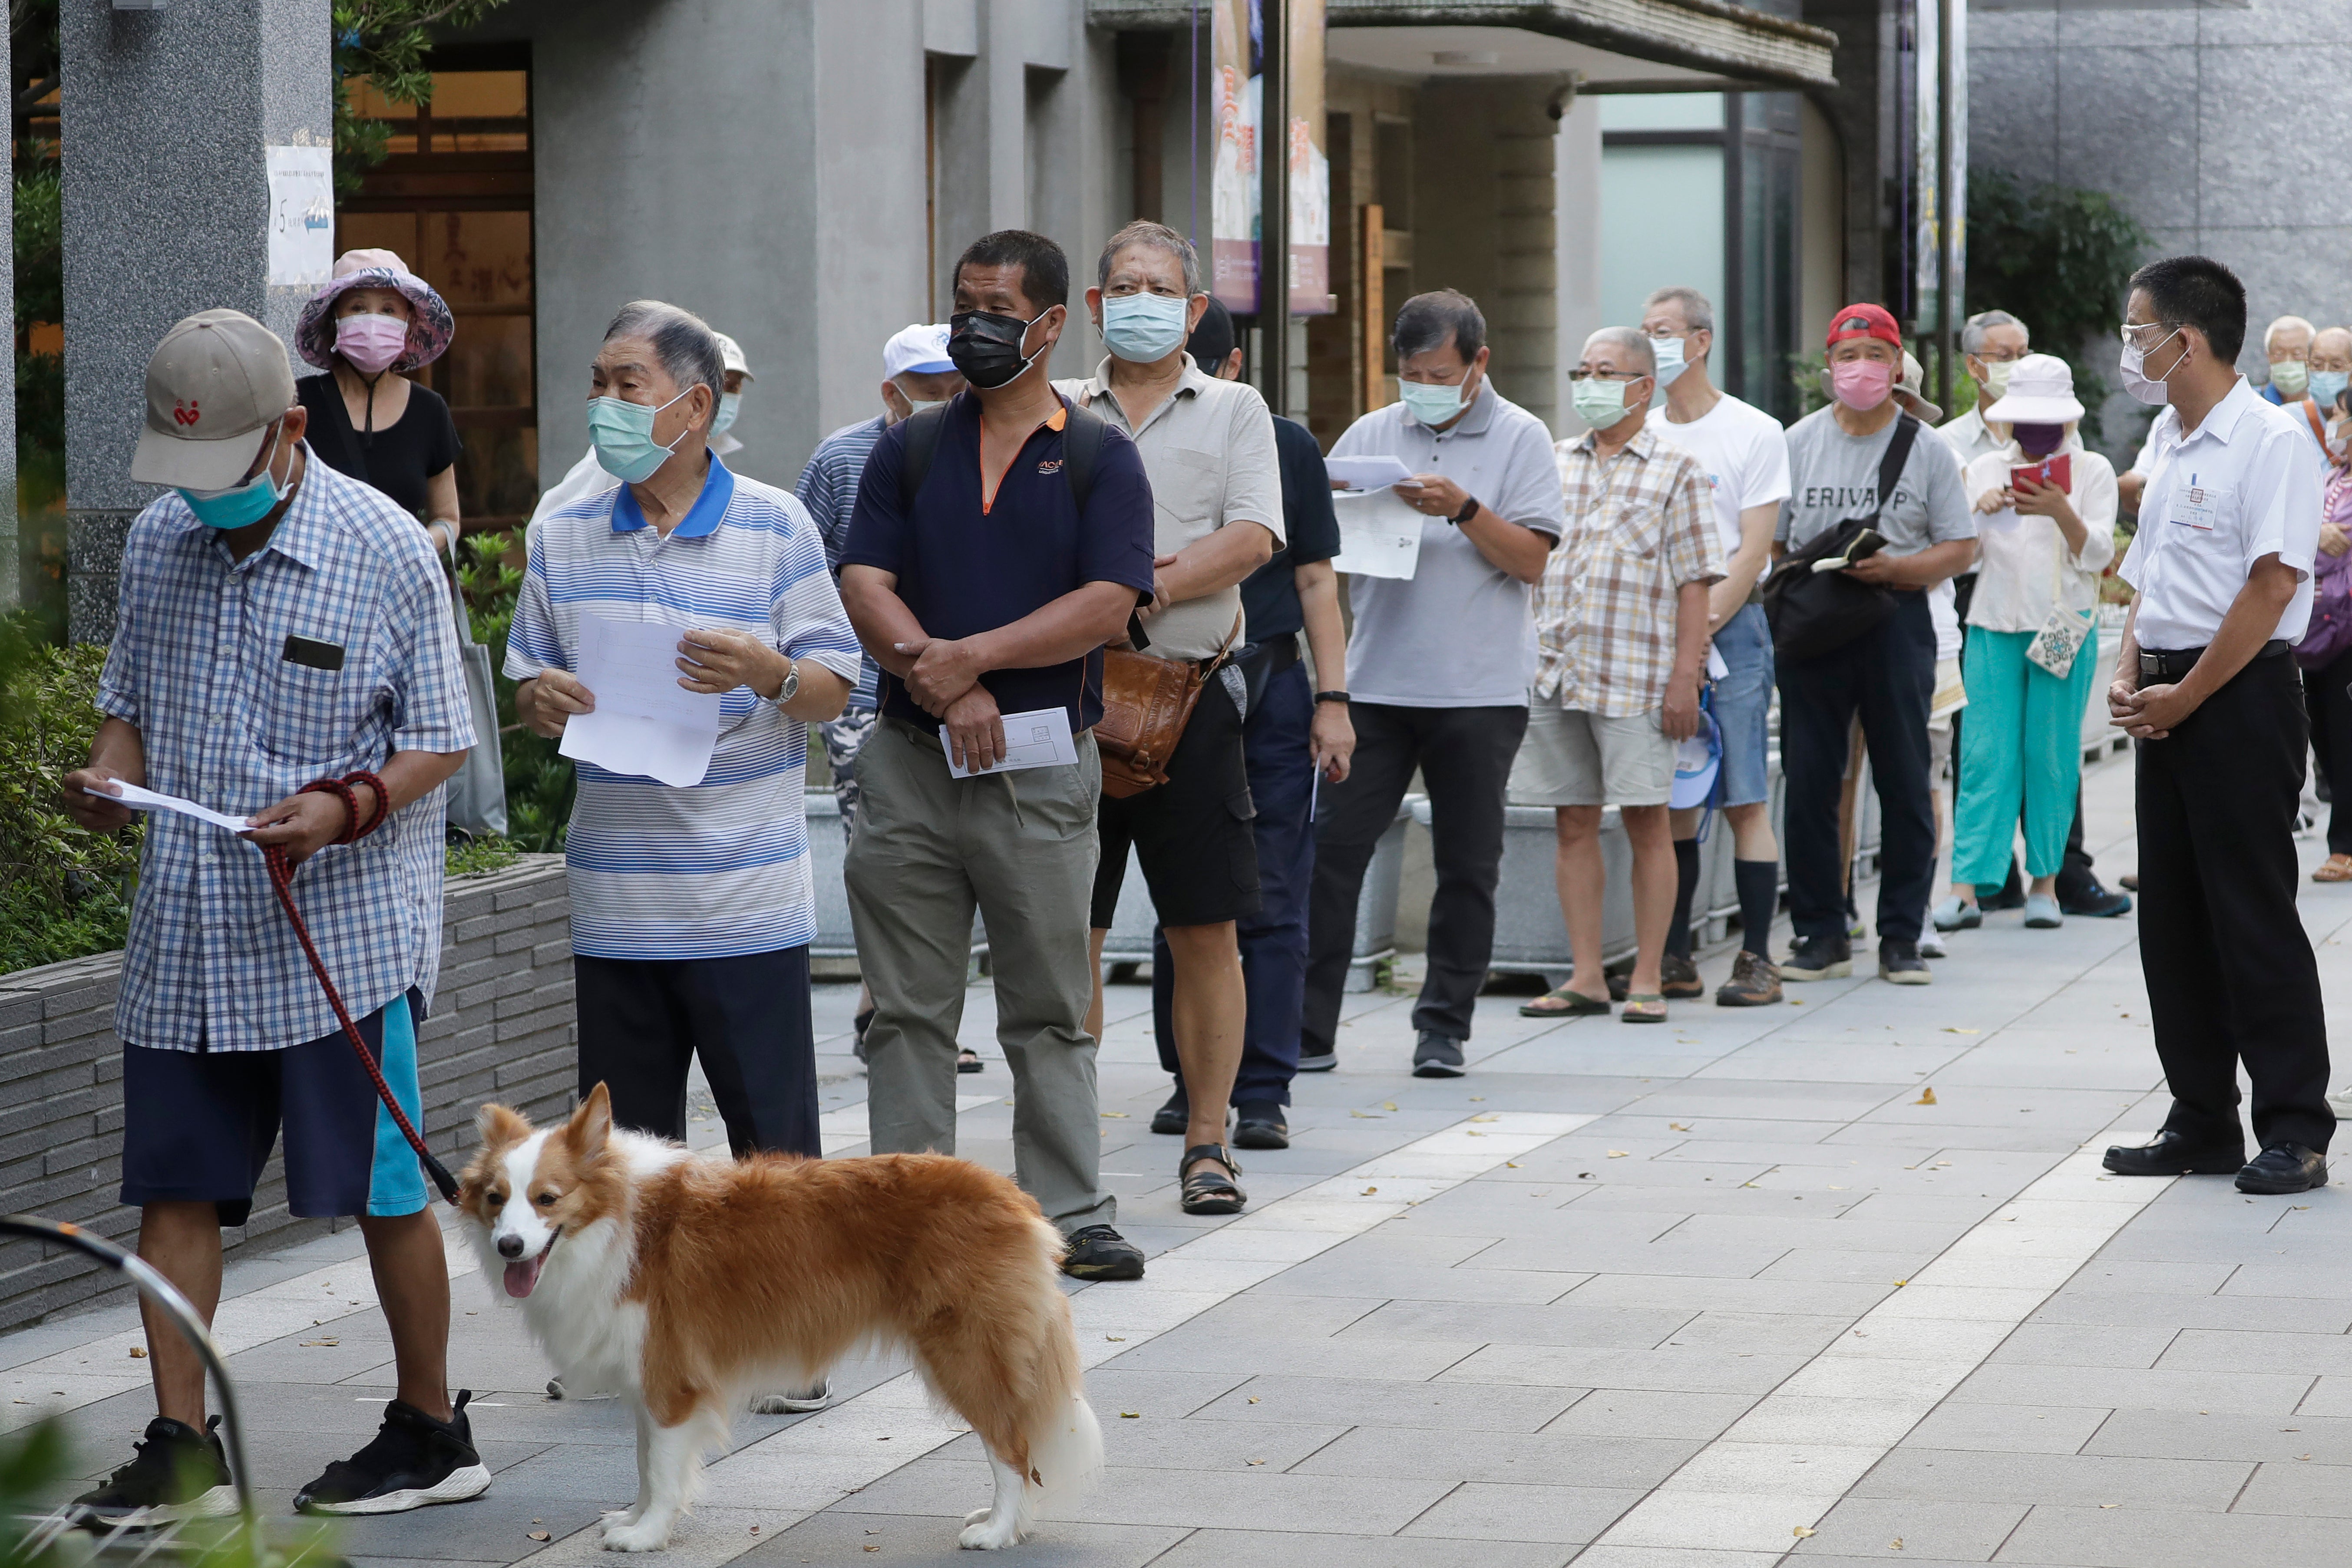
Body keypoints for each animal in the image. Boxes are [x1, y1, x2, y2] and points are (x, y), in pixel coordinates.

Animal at [468, 1086, 1110, 1551]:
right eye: (496, 1197)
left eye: (548, 1198)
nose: (508, 1245)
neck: (620, 1221)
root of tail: (1014, 1196)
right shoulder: (647, 1378)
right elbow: (646, 1462)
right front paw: (635, 1516)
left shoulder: (672, 1377)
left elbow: (665, 1465)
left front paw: (647, 1535)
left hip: (966, 1352)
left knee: (1013, 1446)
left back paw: (998, 1530)